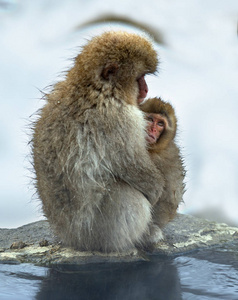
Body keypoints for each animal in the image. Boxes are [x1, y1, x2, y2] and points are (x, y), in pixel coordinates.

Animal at [31, 31, 165, 253]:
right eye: (140, 78)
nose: (146, 89)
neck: (95, 88)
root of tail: (71, 239)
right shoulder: (121, 119)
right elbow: (134, 167)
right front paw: (156, 191)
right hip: (99, 233)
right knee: (129, 197)